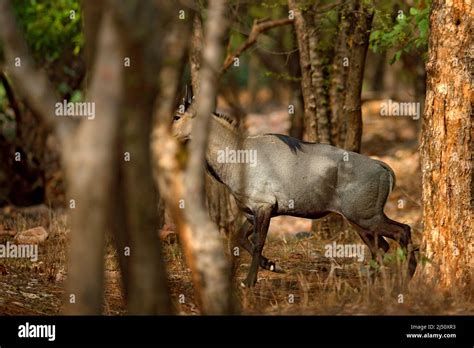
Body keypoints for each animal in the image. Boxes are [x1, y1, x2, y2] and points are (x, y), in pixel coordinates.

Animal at [172, 86, 416, 286]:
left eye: (176, 115)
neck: (236, 155)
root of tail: (384, 168)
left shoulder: (264, 206)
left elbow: (258, 242)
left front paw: (250, 281)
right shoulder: (252, 211)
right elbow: (239, 238)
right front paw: (273, 266)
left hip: (365, 216)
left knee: (402, 231)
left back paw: (405, 279)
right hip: (359, 220)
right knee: (380, 247)